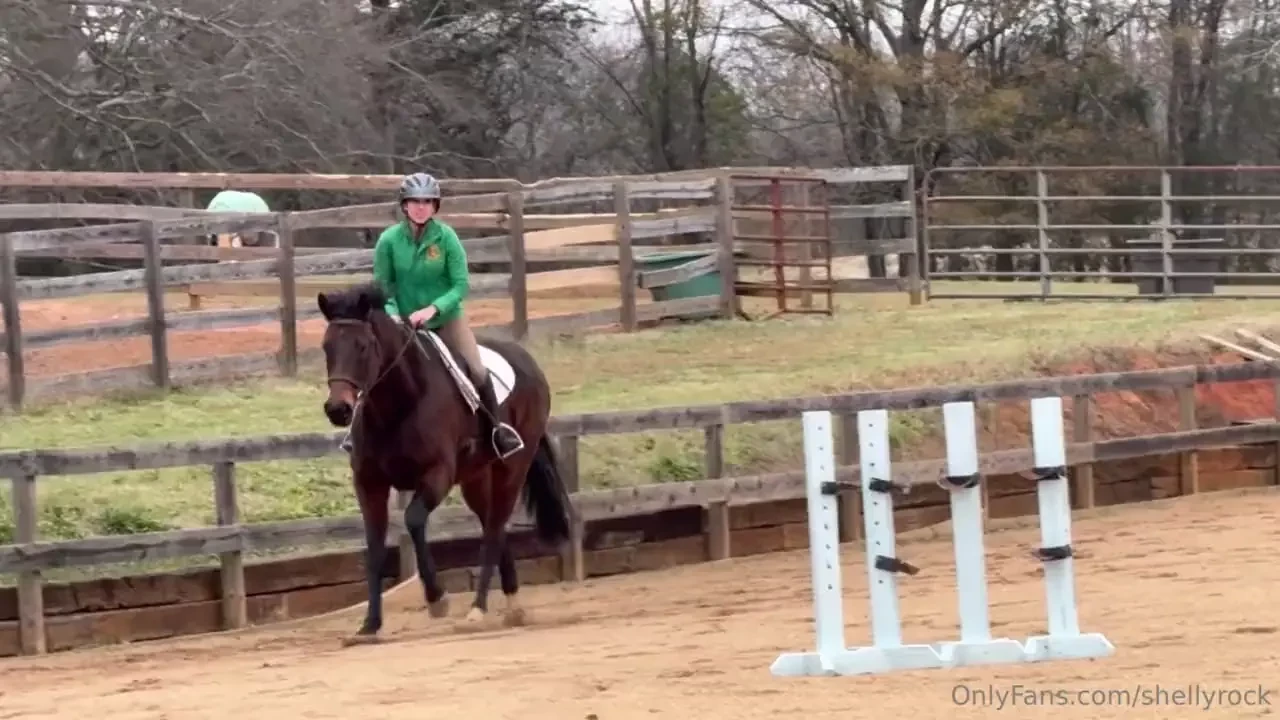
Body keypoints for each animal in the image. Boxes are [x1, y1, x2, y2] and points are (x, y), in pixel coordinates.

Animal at [316, 281, 573, 644]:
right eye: (326, 346)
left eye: (363, 346)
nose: (337, 410)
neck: (400, 403)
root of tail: (528, 361)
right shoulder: (369, 485)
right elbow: (375, 548)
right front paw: (369, 625)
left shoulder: (437, 475)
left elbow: (412, 521)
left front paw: (437, 598)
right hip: (476, 477)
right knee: (492, 524)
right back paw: (513, 606)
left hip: (511, 470)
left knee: (494, 530)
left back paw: (477, 610)